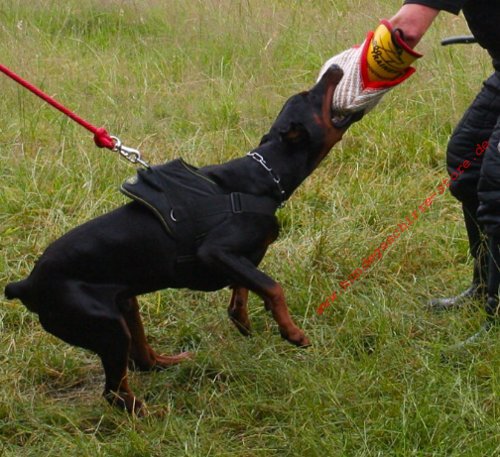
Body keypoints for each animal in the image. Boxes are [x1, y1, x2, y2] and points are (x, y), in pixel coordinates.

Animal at [4, 66, 348, 416]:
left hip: (124, 306)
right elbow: (273, 286)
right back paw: (149, 414)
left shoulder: (239, 257)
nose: (335, 69)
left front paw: (242, 320)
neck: (263, 176)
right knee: (114, 391)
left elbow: (246, 286)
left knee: (142, 361)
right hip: (107, 326)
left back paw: (171, 362)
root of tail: (26, 285)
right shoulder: (214, 251)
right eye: (309, 95)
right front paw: (292, 332)